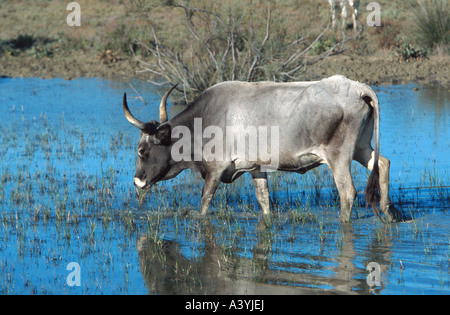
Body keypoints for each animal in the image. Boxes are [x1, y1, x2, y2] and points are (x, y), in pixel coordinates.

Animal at [122, 75, 400, 223]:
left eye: (142, 151)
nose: (136, 181)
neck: (203, 120)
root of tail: (355, 87)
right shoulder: (256, 168)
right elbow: (264, 200)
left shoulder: (215, 168)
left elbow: (205, 199)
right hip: (361, 148)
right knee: (383, 163)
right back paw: (389, 213)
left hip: (339, 157)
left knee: (348, 192)